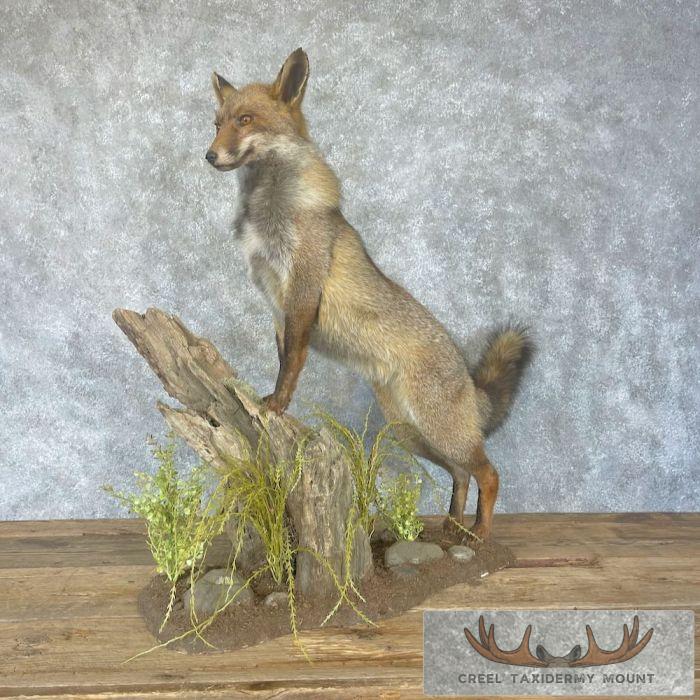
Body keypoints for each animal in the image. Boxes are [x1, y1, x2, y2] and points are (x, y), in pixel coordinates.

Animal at [205, 48, 532, 542]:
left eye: (245, 120)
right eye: (216, 123)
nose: (209, 155)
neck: (267, 212)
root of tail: (465, 373)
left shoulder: (302, 291)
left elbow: (293, 362)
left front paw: (278, 406)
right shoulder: (278, 306)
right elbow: (283, 357)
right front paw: (275, 401)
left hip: (437, 430)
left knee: (489, 474)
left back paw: (478, 535)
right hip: (410, 433)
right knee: (461, 474)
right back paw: (450, 528)